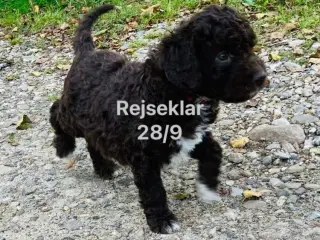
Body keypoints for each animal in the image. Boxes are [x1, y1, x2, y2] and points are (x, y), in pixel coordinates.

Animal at [49, 3, 264, 234]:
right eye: (223, 56)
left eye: (250, 47)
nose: (262, 77)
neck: (175, 91)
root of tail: (87, 53)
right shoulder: (145, 156)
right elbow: (154, 190)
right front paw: (163, 221)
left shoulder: (189, 138)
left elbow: (214, 151)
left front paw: (208, 189)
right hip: (72, 116)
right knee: (56, 113)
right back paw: (63, 147)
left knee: (92, 140)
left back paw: (104, 168)